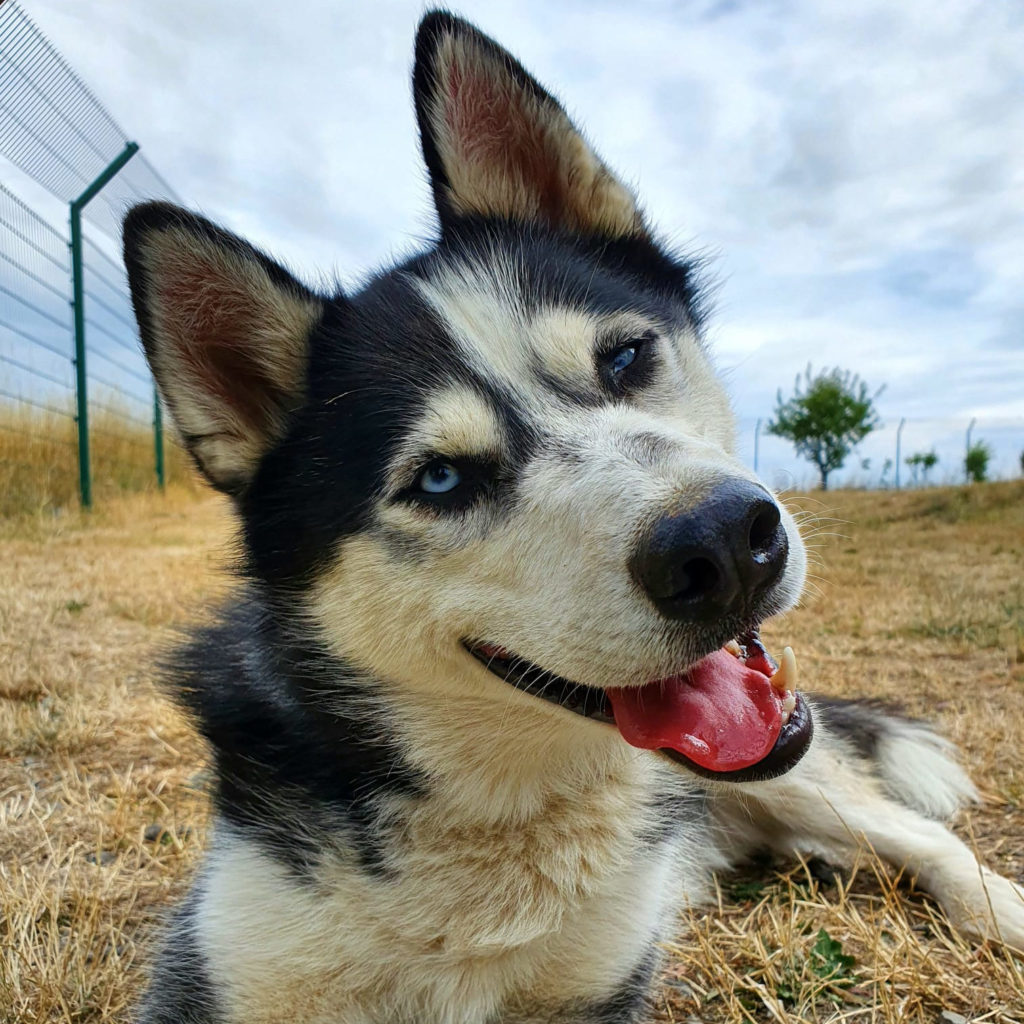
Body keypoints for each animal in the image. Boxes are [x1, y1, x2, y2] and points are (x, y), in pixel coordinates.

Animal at [121, 9, 1024, 1024]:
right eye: (440, 480)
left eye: (626, 357)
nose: (724, 544)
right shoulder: (225, 967)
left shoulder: (603, 984)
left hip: (808, 789)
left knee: (919, 836)